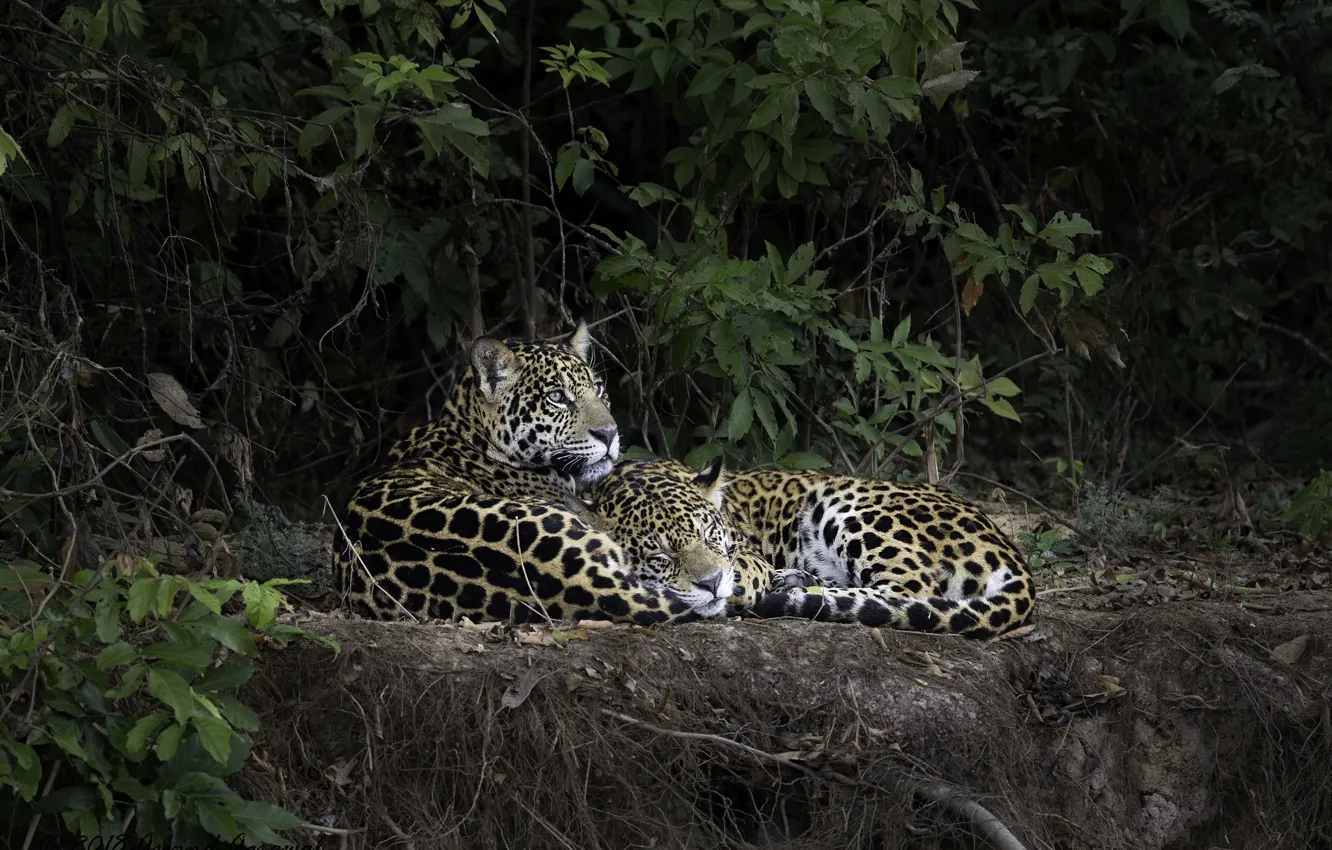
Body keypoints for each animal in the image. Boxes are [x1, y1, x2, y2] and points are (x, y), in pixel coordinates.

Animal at [585, 457, 1036, 639]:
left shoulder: (745, 555)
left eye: (710, 534)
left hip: (840, 500)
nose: (711, 583)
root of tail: (1006, 546)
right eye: (661, 556)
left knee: (908, 591)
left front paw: (735, 589)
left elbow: (742, 573)